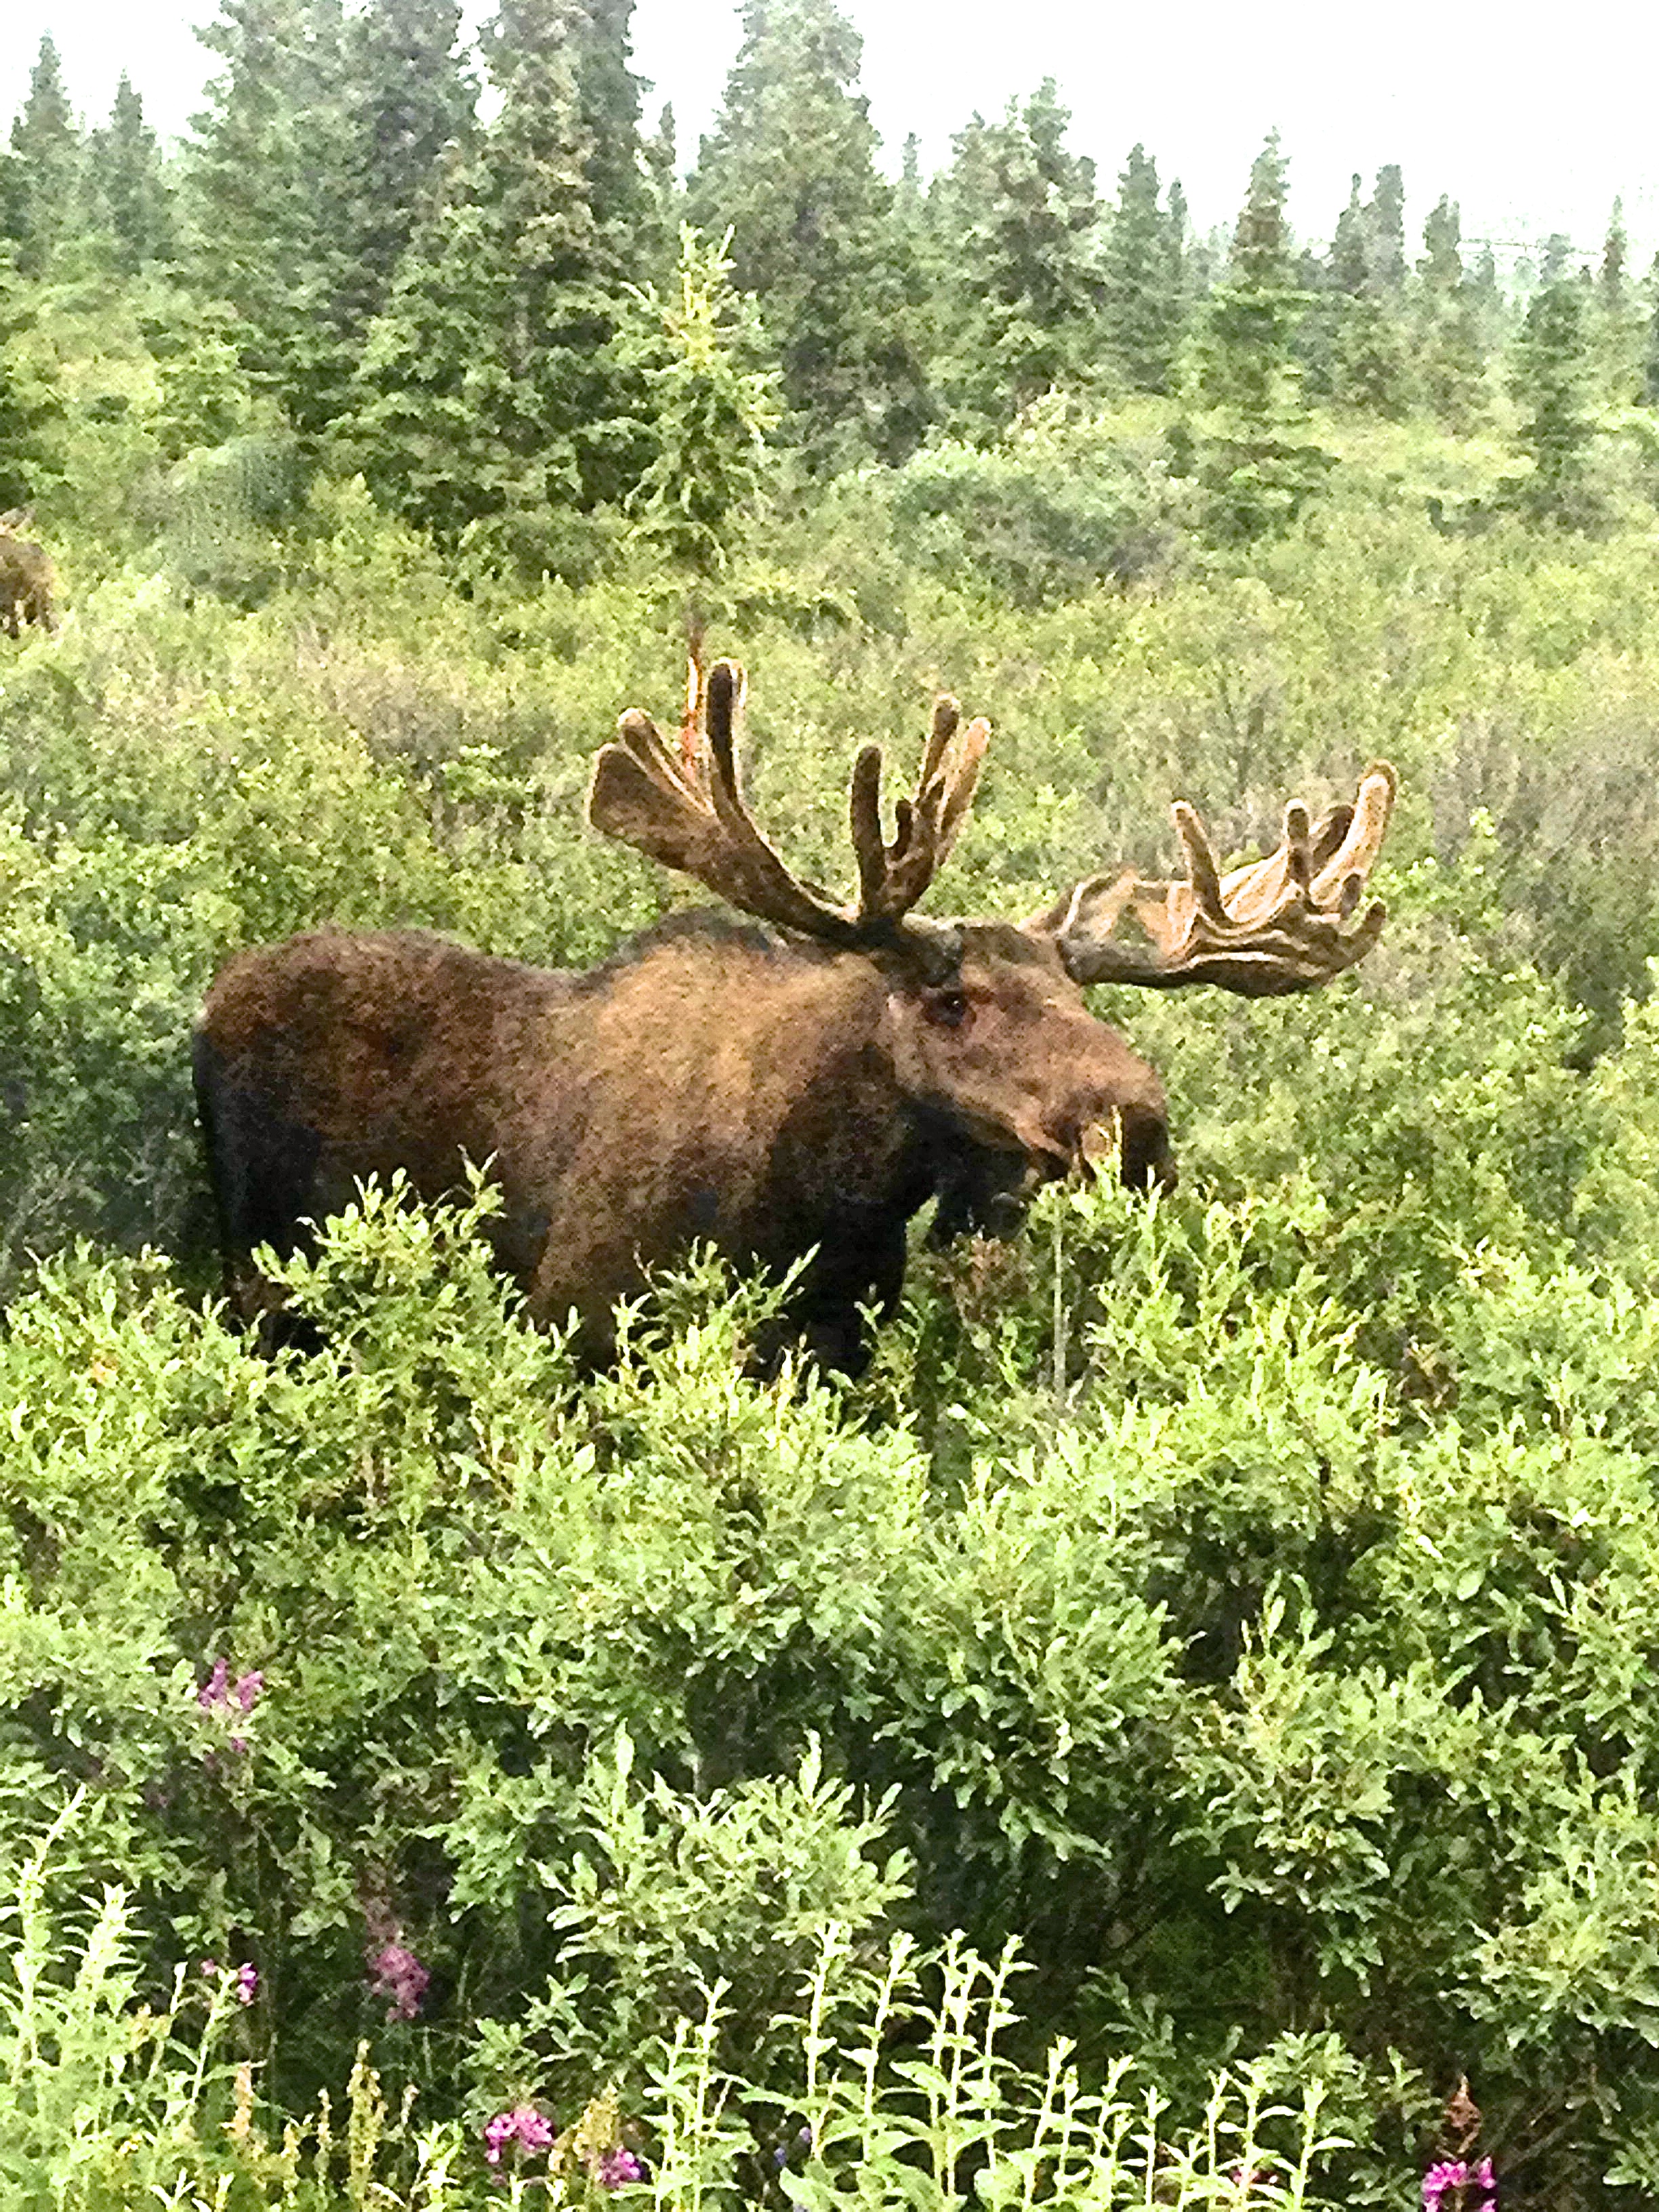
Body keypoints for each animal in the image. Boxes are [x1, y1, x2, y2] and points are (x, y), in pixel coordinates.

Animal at [201, 655, 1406, 1362]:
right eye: (953, 1001)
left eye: (1076, 991)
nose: (1142, 1126)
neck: (829, 1191)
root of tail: (214, 996)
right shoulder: (574, 1320)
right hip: (250, 1268)